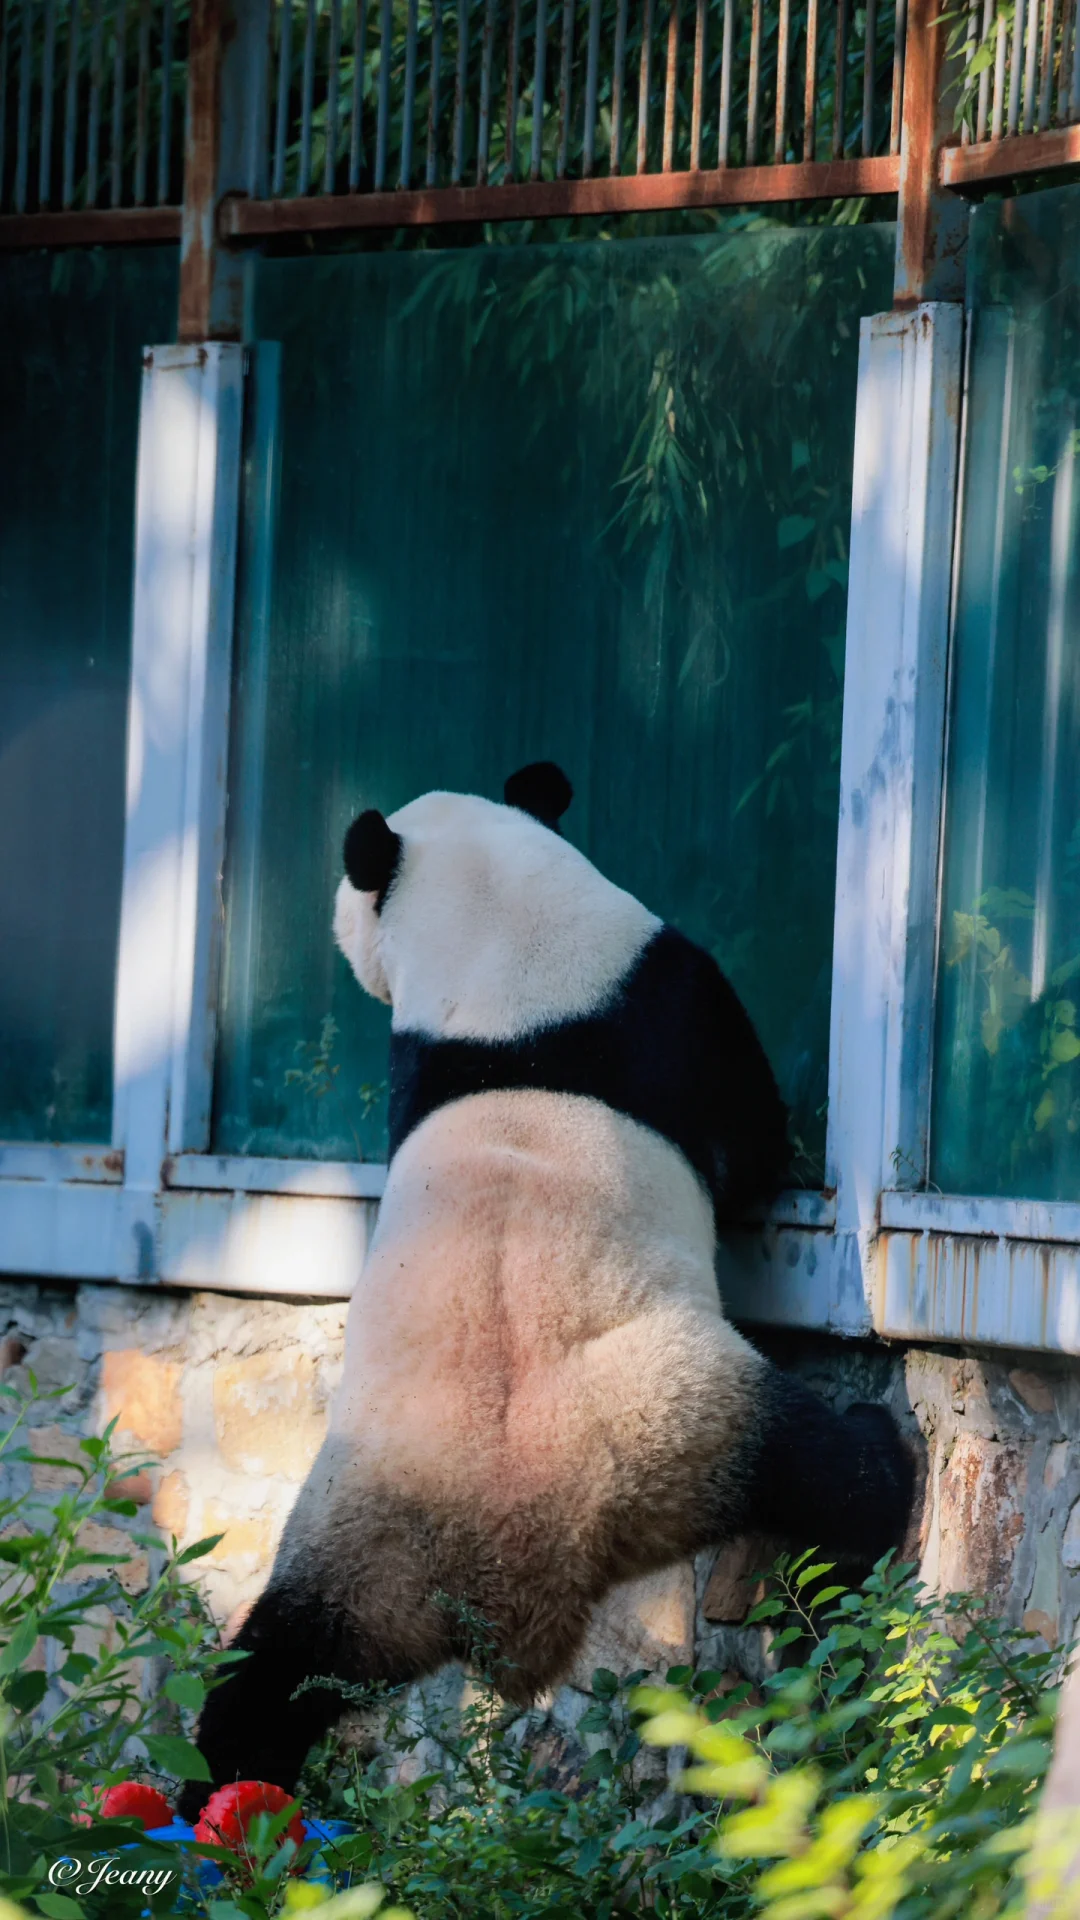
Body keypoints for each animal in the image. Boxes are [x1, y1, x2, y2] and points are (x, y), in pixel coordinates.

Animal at [182, 760, 907, 1797]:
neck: (500, 945)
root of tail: (514, 1584)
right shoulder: (669, 997)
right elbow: (752, 1135)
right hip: (669, 1411)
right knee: (815, 1466)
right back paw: (881, 1455)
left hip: (362, 1540)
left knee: (278, 1672)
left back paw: (216, 1789)